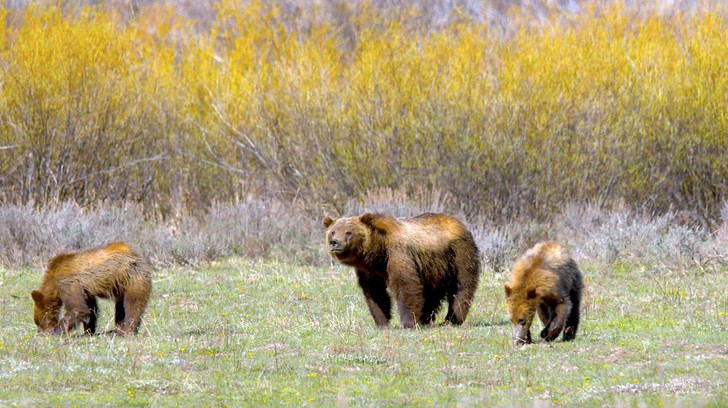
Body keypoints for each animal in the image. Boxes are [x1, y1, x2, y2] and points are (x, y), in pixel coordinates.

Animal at [322, 212, 480, 330]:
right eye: (333, 232)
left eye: (348, 232)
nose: (335, 242)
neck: (377, 253)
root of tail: (460, 223)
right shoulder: (369, 271)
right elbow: (375, 293)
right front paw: (382, 322)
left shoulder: (398, 254)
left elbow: (406, 285)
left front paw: (408, 323)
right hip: (434, 268)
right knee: (431, 294)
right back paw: (426, 319)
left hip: (458, 253)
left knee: (461, 286)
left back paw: (452, 319)